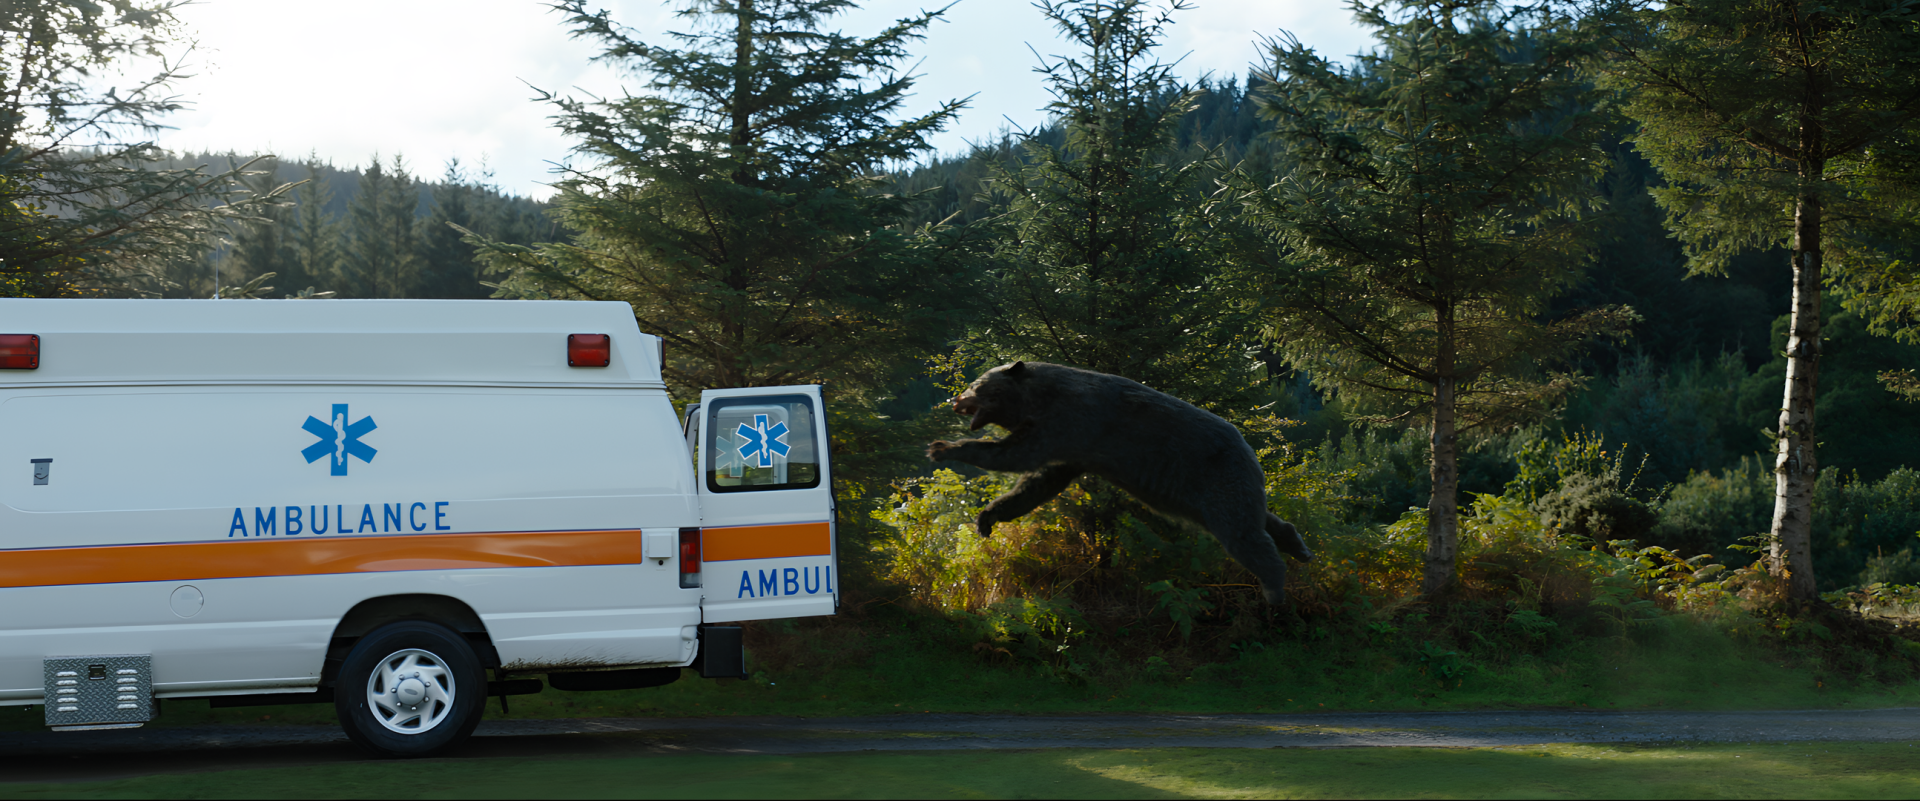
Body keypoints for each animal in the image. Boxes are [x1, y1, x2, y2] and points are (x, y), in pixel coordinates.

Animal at [925, 360, 1314, 606]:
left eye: (976, 385)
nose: (956, 399)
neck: (1040, 398)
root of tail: (1252, 450)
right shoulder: (1073, 449)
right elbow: (1037, 483)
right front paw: (988, 517)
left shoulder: (1070, 421)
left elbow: (1015, 456)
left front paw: (943, 447)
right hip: (1211, 497)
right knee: (1261, 520)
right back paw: (1298, 546)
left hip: (1217, 481)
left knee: (1244, 536)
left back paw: (1275, 590)